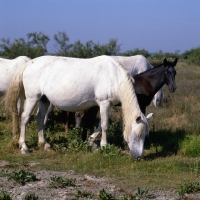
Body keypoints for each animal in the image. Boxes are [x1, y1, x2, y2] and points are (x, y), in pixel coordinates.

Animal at [4, 55, 153, 159]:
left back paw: (44, 144)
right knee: (25, 118)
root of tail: (28, 64)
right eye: (137, 135)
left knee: (40, 118)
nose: (139, 157)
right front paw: (103, 145)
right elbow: (105, 125)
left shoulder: (105, 105)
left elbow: (100, 124)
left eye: (146, 135)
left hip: (43, 100)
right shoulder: (104, 103)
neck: (113, 76)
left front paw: (91, 141)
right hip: (32, 98)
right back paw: (24, 147)